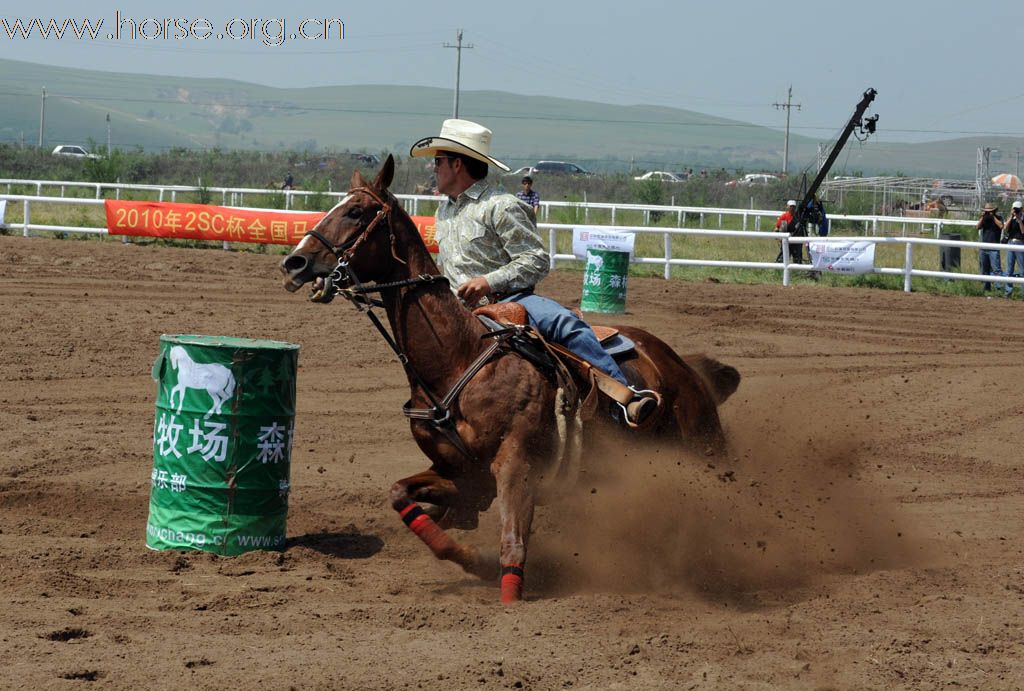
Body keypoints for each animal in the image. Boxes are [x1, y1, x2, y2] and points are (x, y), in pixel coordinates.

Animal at [280, 154, 741, 601]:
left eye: (356, 212)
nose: (293, 262)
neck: (458, 360)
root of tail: (677, 362)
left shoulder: (516, 464)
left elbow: (513, 543)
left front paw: (507, 589)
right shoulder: (462, 474)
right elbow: (402, 497)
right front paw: (472, 557)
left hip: (704, 446)